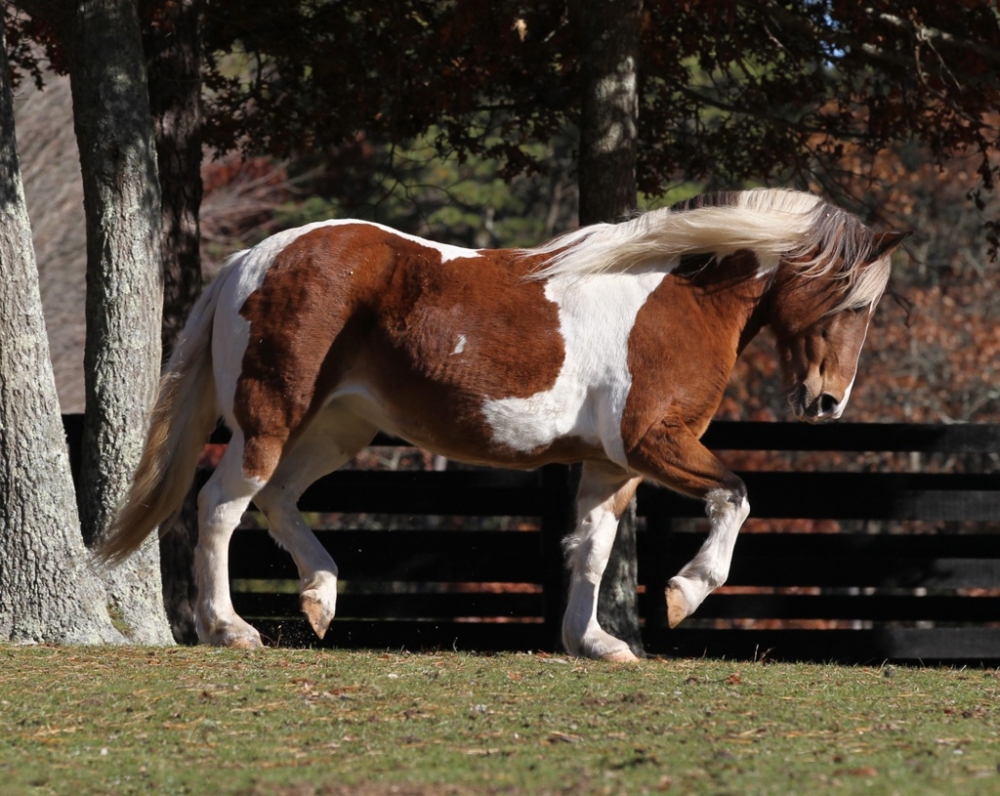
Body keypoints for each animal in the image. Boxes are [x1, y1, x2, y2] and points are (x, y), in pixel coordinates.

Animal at [99, 187, 908, 660]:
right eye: (854, 301)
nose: (829, 402)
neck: (677, 299)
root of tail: (252, 257)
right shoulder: (654, 442)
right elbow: (735, 497)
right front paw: (684, 594)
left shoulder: (612, 464)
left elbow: (592, 547)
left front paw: (593, 643)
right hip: (272, 417)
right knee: (220, 504)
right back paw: (229, 629)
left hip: (339, 427)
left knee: (274, 500)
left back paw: (320, 599)